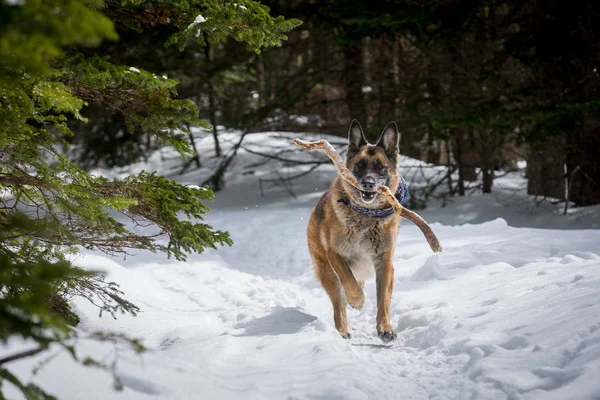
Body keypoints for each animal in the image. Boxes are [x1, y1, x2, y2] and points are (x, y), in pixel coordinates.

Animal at [308, 119, 400, 340]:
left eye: (381, 167)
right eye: (359, 166)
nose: (368, 183)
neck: (365, 217)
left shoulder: (385, 263)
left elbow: (383, 300)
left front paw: (385, 327)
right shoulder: (335, 254)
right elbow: (349, 282)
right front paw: (357, 300)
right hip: (328, 273)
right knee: (338, 304)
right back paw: (342, 329)